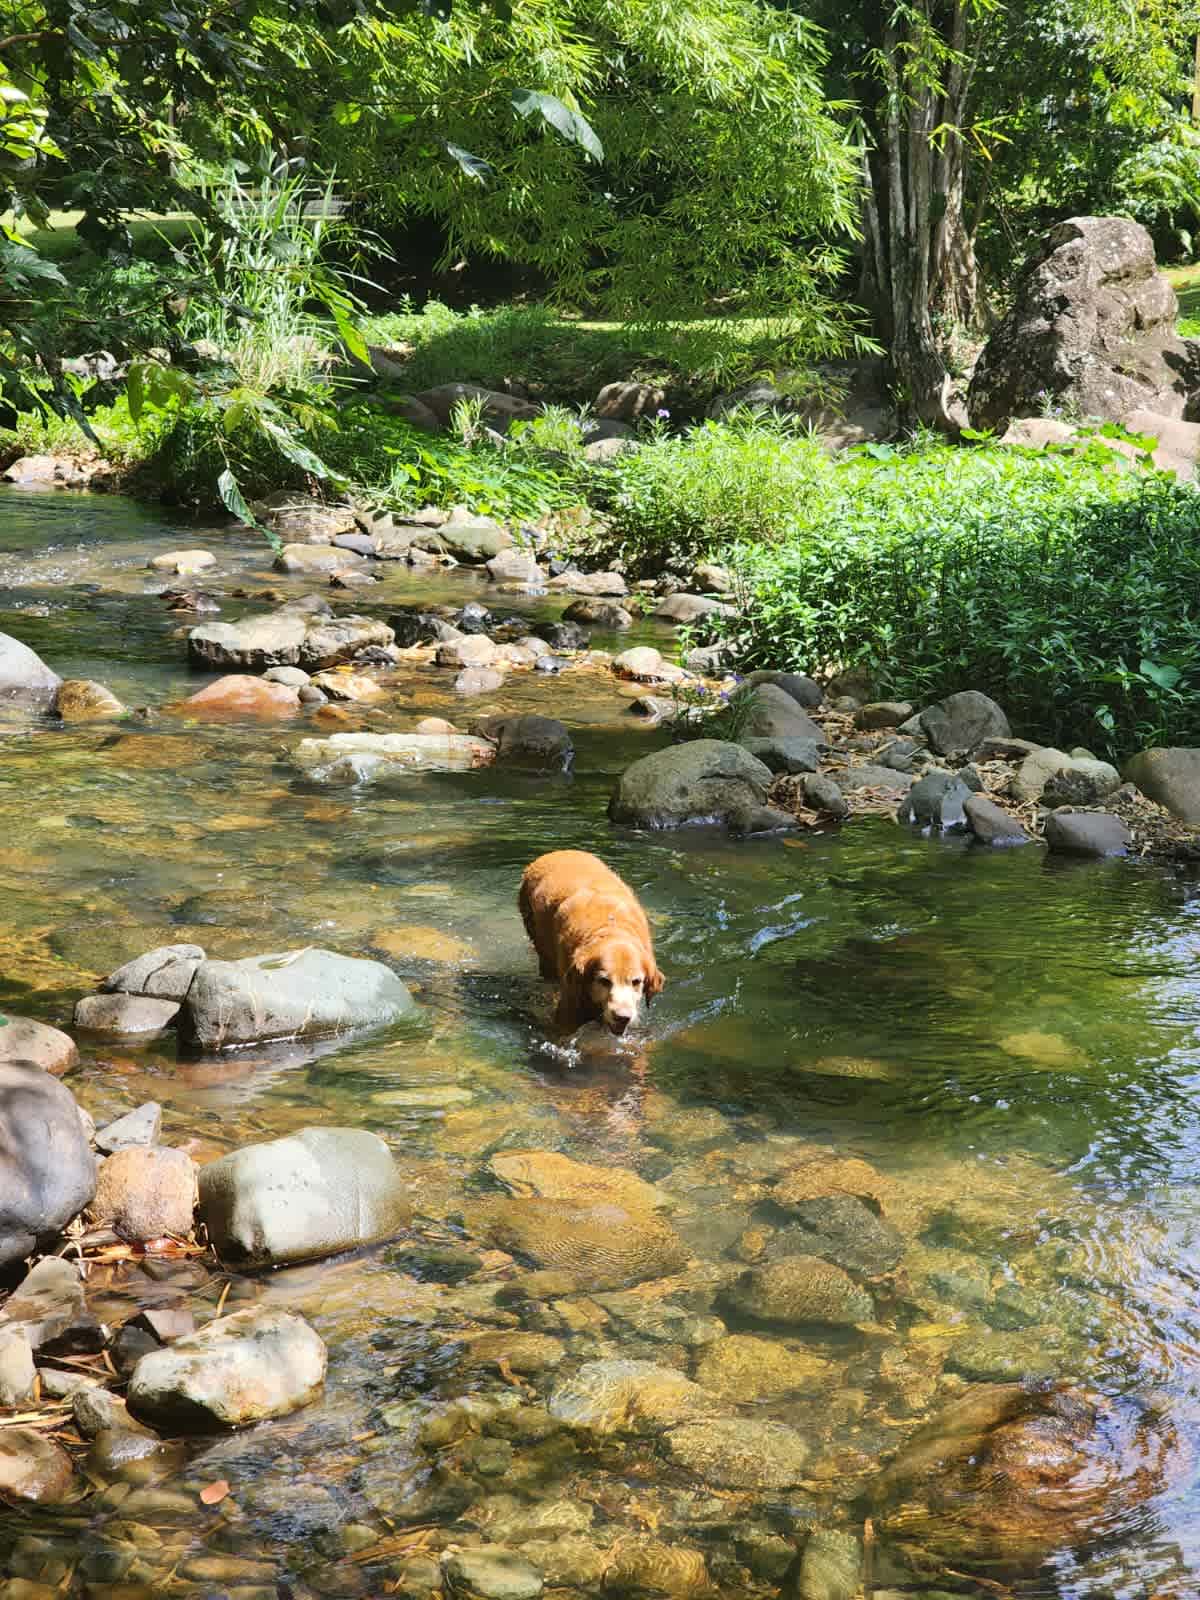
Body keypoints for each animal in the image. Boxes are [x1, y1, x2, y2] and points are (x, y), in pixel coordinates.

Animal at [518, 851, 668, 1036]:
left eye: (636, 982)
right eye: (604, 980)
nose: (622, 1017)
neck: (612, 927)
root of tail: (554, 853)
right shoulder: (568, 1009)